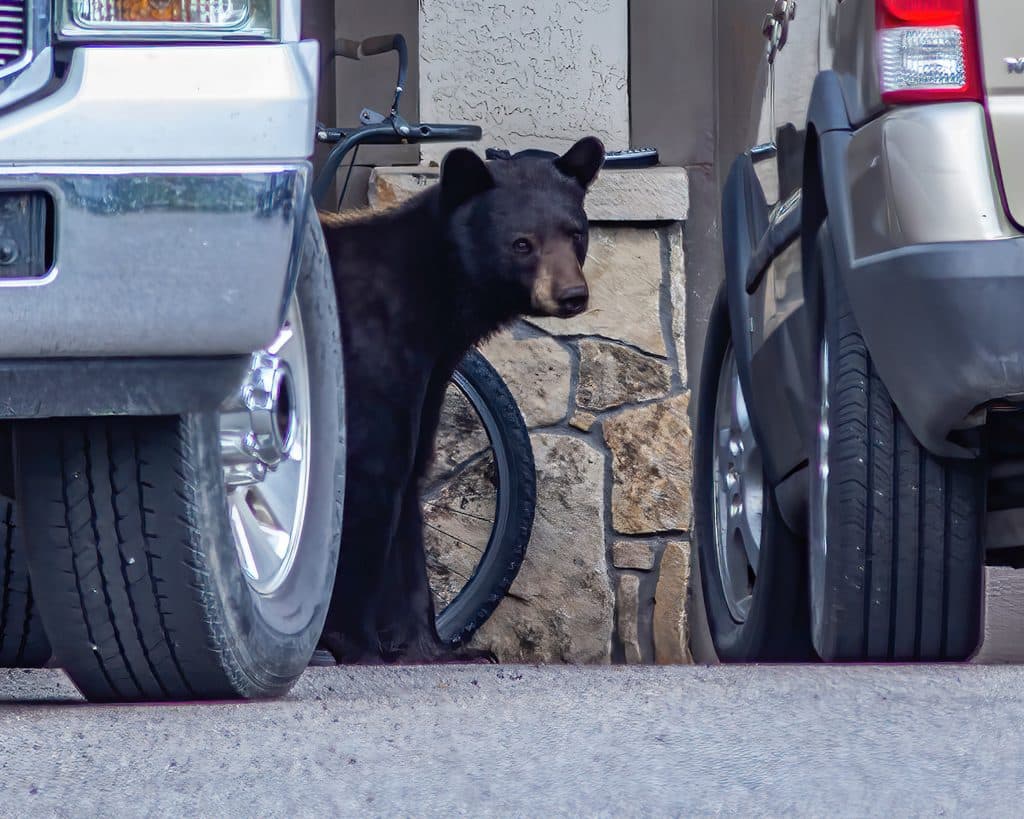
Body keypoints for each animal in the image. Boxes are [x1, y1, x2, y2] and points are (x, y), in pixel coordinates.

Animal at [318, 136, 605, 664]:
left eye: (576, 232)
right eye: (521, 242)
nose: (571, 294)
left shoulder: (430, 372)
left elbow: (411, 476)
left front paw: (436, 647)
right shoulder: (367, 350)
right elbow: (371, 469)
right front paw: (358, 644)